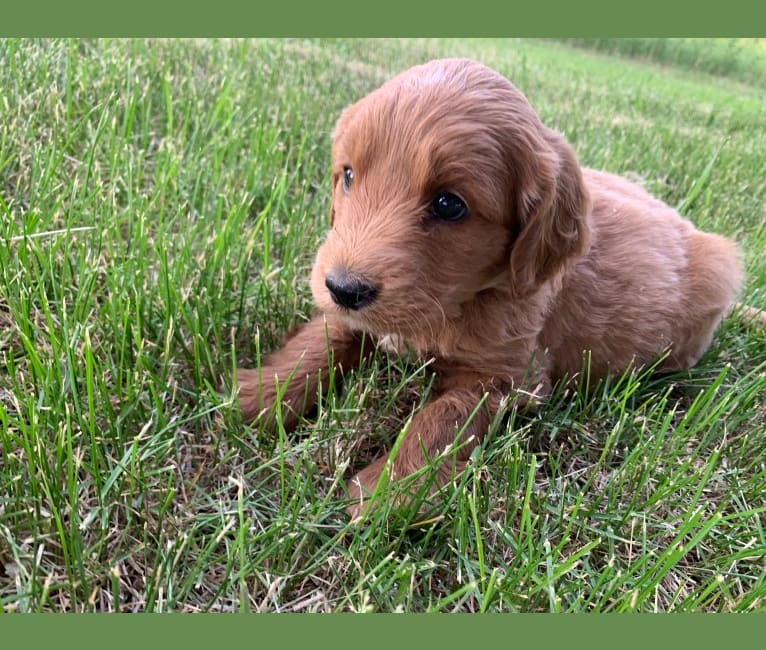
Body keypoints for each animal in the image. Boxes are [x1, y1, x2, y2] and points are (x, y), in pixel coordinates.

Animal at [238, 58, 752, 516]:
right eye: (347, 175)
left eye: (449, 204)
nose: (344, 288)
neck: (460, 303)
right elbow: (323, 340)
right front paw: (260, 395)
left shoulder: (508, 376)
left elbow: (442, 419)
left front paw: (388, 490)